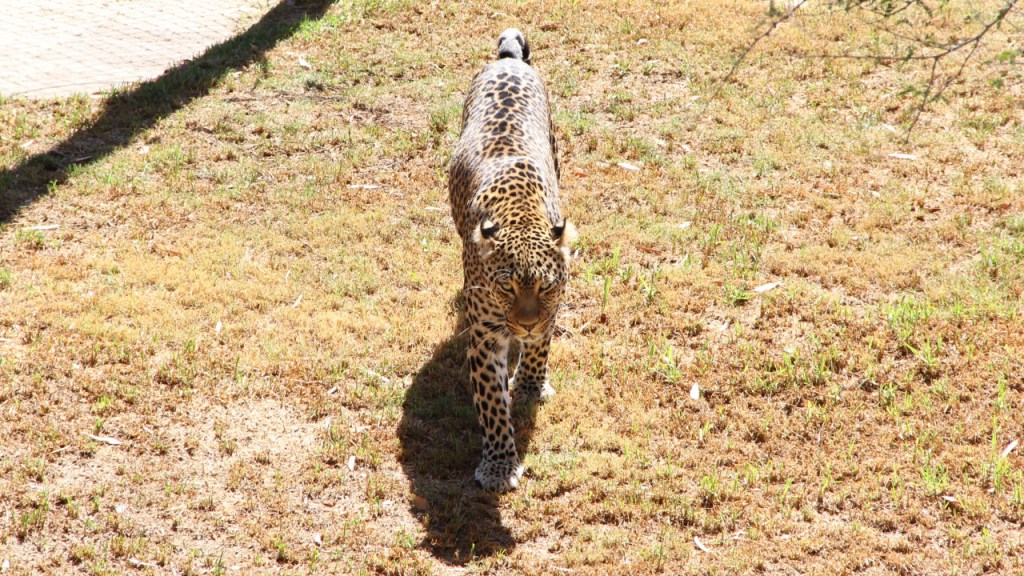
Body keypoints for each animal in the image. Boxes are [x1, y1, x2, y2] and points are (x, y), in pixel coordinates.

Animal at [447, 28, 576, 492]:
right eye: (506, 285)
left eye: (546, 285)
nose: (526, 323)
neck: (520, 214)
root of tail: (509, 61)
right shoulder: (485, 334)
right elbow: (491, 403)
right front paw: (500, 464)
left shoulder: (552, 308)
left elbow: (541, 348)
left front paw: (530, 387)